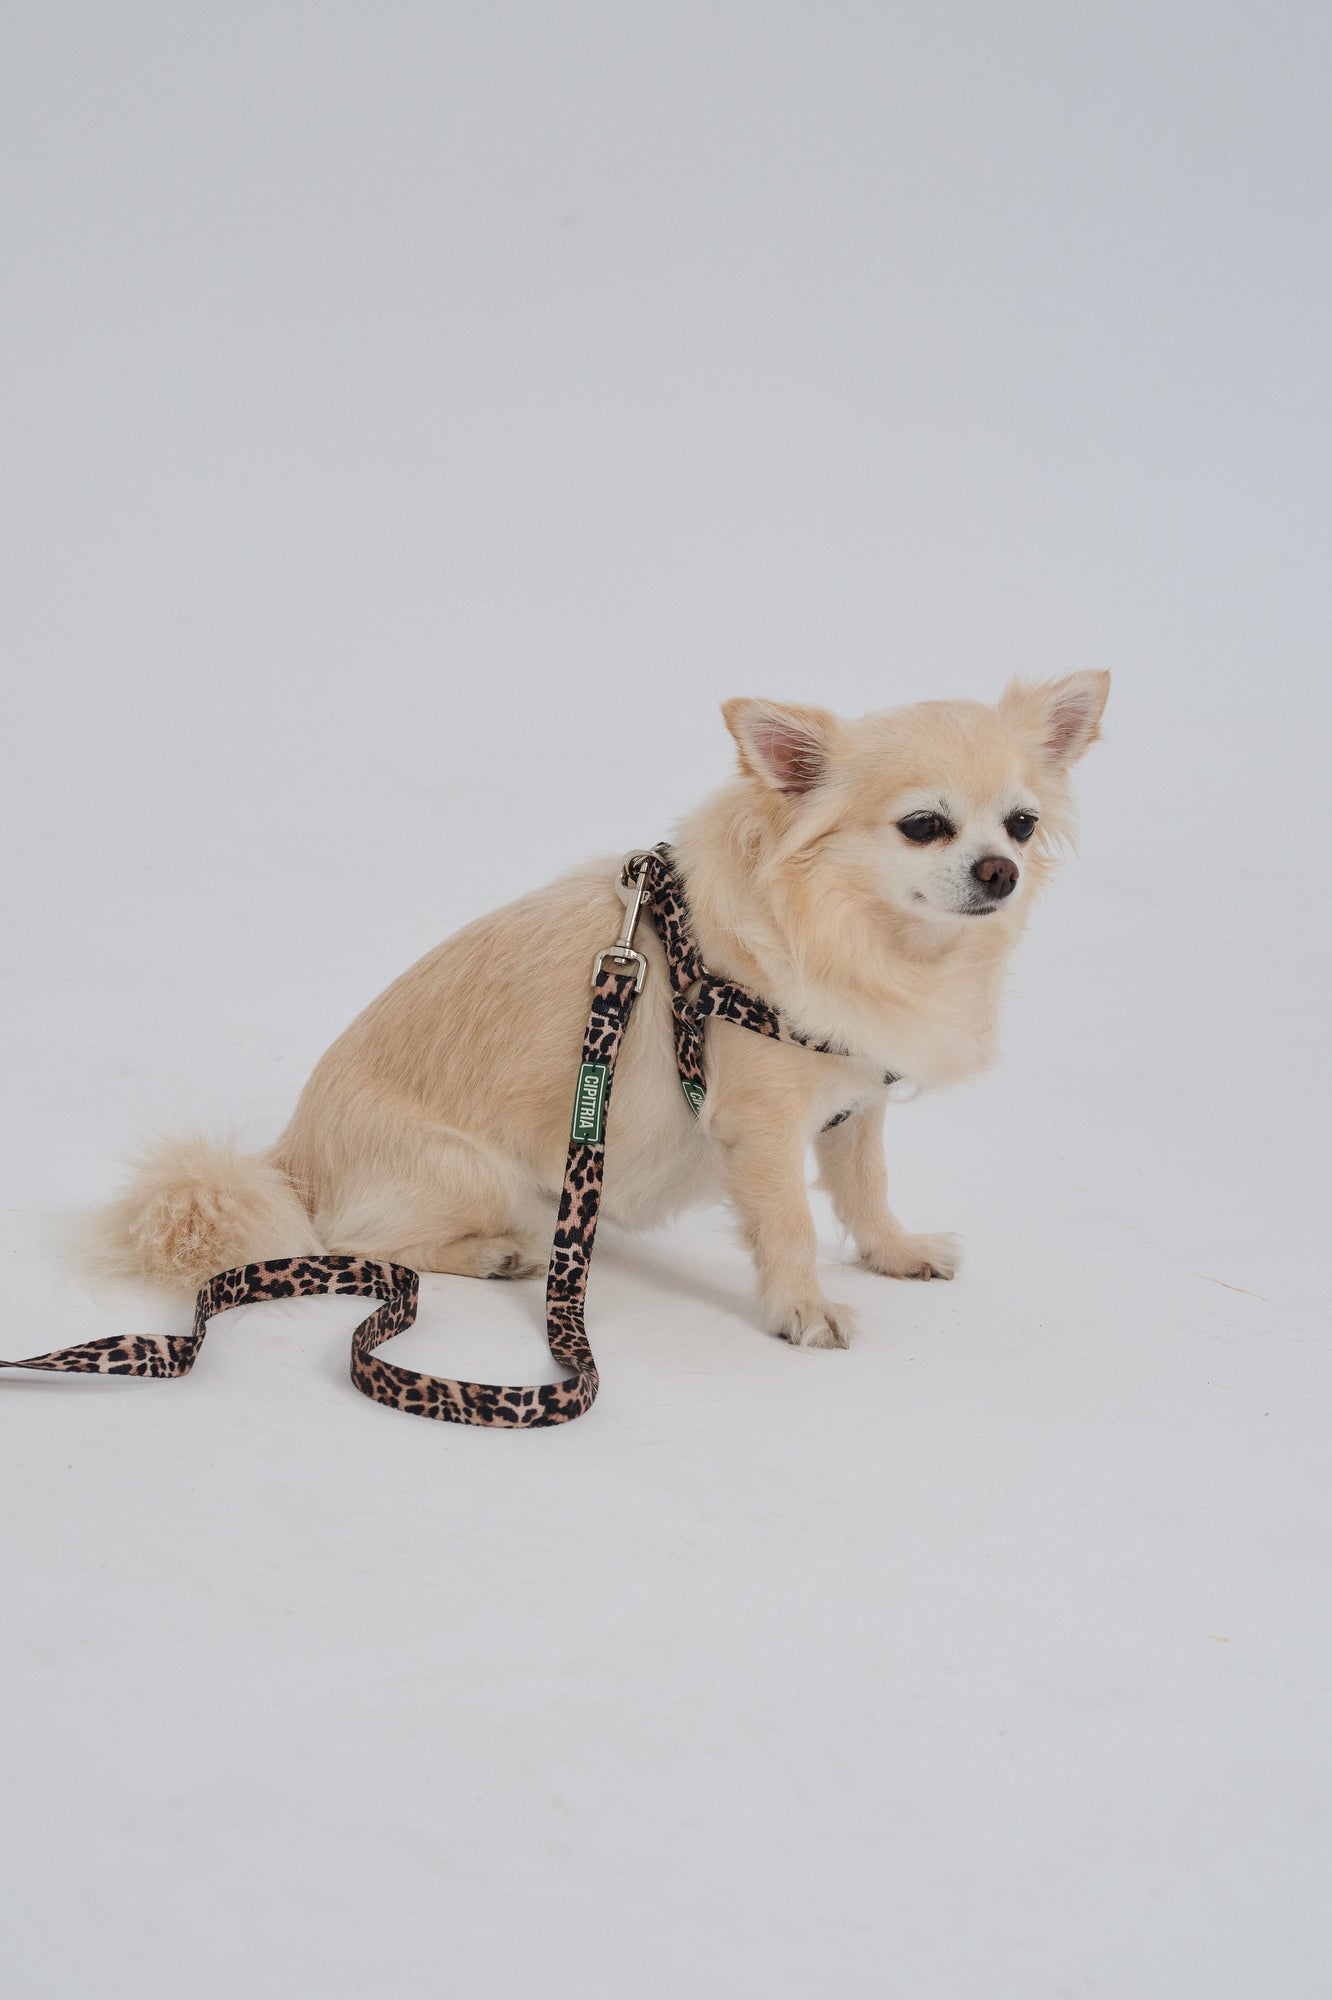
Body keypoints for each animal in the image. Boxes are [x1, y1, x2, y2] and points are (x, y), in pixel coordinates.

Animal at [92, 672, 1108, 1350]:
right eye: (923, 826)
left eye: (1020, 825)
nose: (1000, 872)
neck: (870, 939)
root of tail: (290, 1160)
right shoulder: (762, 1127)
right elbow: (790, 1222)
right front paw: (803, 1306)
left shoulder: (854, 1100)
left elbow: (865, 1188)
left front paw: (896, 1253)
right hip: (471, 1177)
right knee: (356, 1243)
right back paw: (496, 1254)